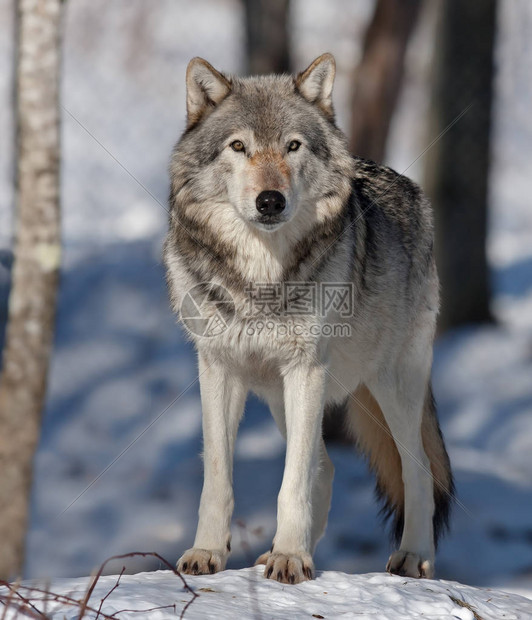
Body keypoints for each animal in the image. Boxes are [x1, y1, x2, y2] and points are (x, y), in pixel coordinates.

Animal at [165, 54, 454, 588]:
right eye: (239, 146)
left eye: (293, 146)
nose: (270, 200)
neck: (260, 280)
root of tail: (412, 188)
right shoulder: (218, 367)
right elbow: (218, 475)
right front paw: (208, 552)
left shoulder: (306, 371)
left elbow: (291, 481)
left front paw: (290, 560)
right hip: (283, 397)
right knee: (328, 468)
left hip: (390, 385)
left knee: (418, 469)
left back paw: (412, 558)